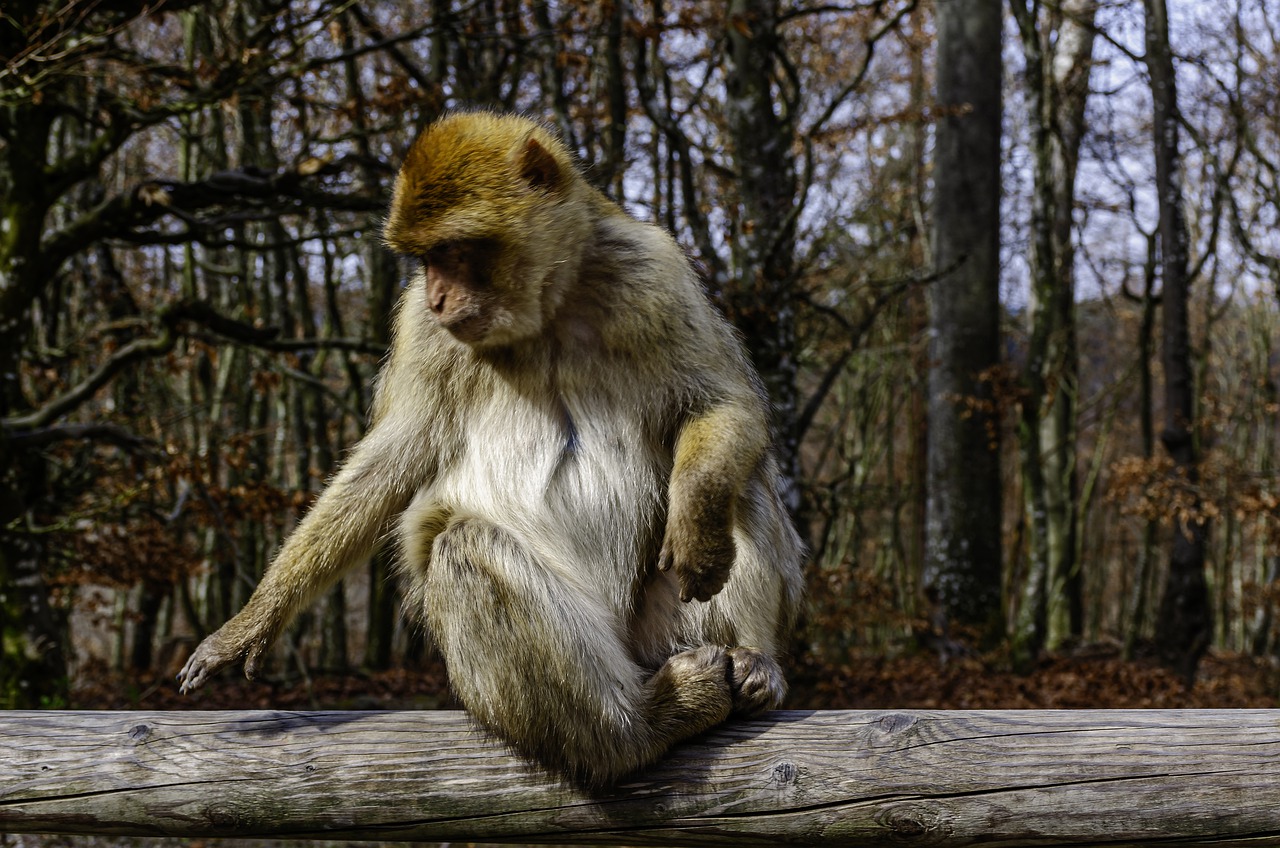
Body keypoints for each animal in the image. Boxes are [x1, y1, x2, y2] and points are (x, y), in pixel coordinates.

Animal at [178, 111, 805, 786]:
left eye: (453, 252)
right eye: (426, 260)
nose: (437, 296)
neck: (547, 310)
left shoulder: (653, 274)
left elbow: (723, 407)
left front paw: (697, 516)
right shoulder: (423, 330)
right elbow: (392, 460)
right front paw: (254, 620)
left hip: (661, 627)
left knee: (741, 478)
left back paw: (752, 660)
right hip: (586, 657)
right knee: (461, 550)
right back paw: (635, 730)